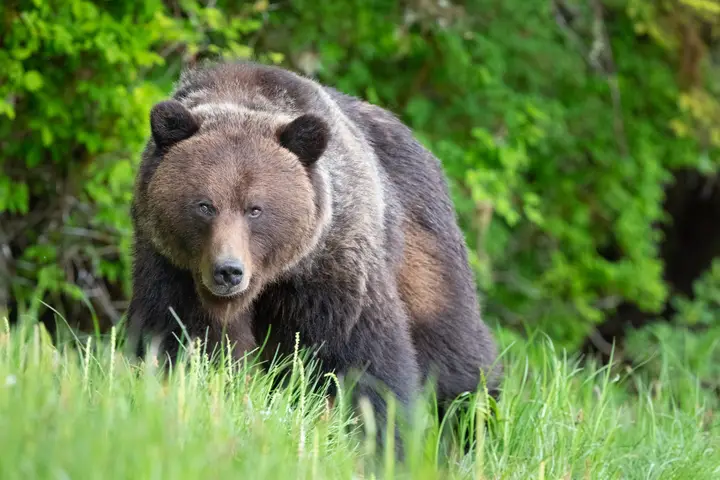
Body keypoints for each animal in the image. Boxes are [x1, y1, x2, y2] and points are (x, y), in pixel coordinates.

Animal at [126, 60, 502, 453]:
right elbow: (179, 340)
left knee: (453, 348)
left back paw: (474, 427)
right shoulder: (172, 267)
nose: (228, 271)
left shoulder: (331, 263)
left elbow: (362, 357)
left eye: (255, 209)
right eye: (204, 205)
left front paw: (380, 442)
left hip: (422, 244)